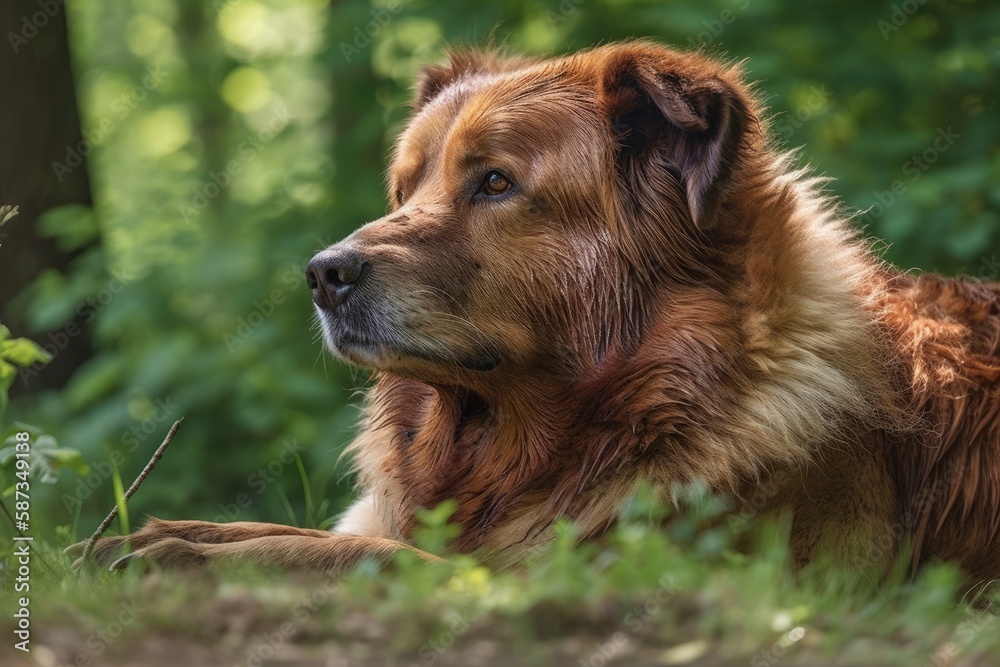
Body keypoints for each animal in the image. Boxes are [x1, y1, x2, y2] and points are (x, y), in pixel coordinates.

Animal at [72, 39, 1000, 588]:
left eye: (495, 182)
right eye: (405, 189)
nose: (322, 274)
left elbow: (370, 553)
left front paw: (182, 556)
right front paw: (151, 533)